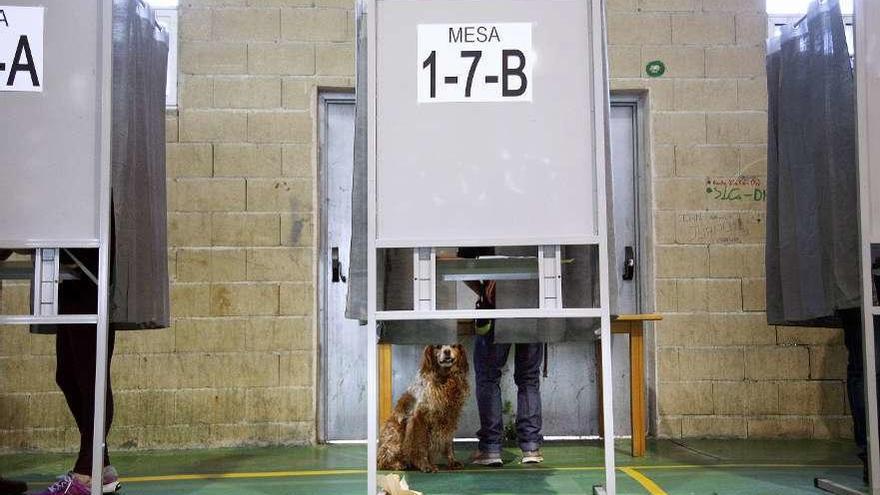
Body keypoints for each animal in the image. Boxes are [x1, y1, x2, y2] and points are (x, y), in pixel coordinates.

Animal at [376, 344, 470, 472]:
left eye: (453, 346)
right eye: (438, 346)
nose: (447, 351)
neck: (444, 379)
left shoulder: (450, 417)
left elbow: (449, 442)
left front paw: (453, 461)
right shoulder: (419, 418)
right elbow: (421, 445)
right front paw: (425, 465)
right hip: (396, 434)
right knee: (382, 458)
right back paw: (398, 464)